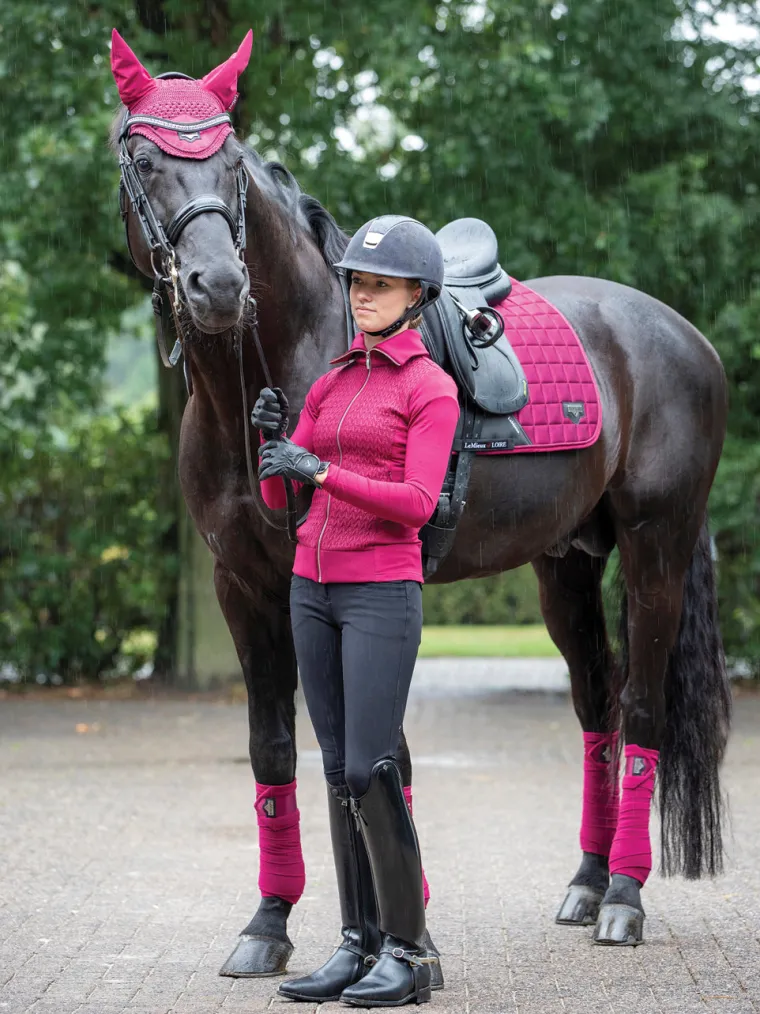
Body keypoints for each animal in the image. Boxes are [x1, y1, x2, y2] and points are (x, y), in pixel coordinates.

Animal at [110, 35, 730, 972]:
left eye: (230, 163)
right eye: (146, 162)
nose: (217, 285)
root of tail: (680, 333)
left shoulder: (362, 587)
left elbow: (381, 754)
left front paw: (407, 938)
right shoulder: (244, 587)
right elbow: (276, 750)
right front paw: (270, 924)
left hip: (656, 548)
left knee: (644, 706)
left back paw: (624, 898)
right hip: (565, 567)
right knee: (597, 705)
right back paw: (587, 885)